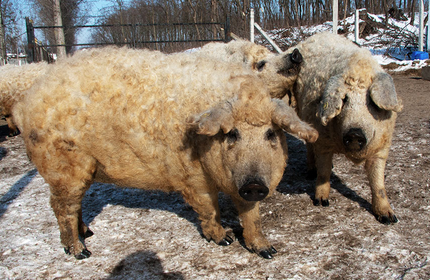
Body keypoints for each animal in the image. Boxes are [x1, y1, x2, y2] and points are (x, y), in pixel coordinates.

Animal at [288, 32, 404, 224]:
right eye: (344, 99)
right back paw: (311, 172)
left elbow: (378, 182)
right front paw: (321, 202)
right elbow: (324, 172)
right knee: (309, 146)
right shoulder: (323, 142)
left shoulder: (382, 147)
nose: (355, 133)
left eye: (371, 101)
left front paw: (389, 218)